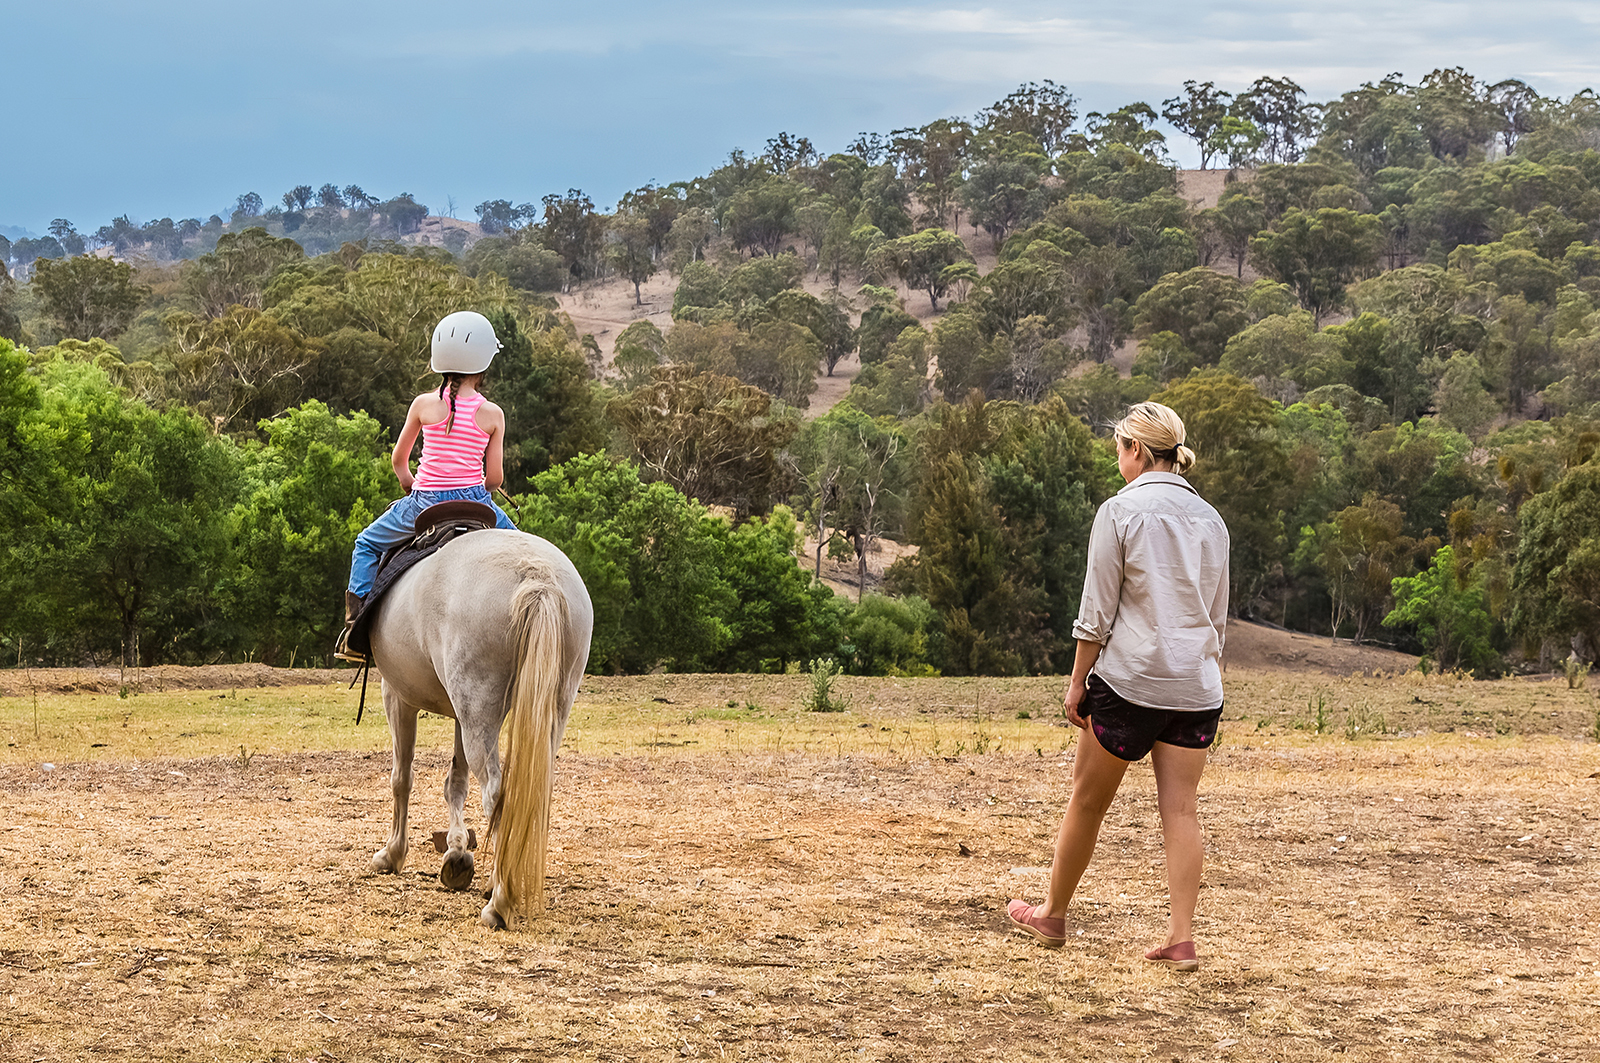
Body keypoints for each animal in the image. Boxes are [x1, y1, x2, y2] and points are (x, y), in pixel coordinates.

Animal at [364, 528, 593, 929]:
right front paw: (456, 854)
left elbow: (401, 779)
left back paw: (499, 902)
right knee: (533, 791)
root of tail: (537, 575)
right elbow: (455, 782)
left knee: (497, 794)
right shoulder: (461, 714)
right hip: (547, 706)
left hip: (476, 709)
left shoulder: (397, 695)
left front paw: (392, 854)